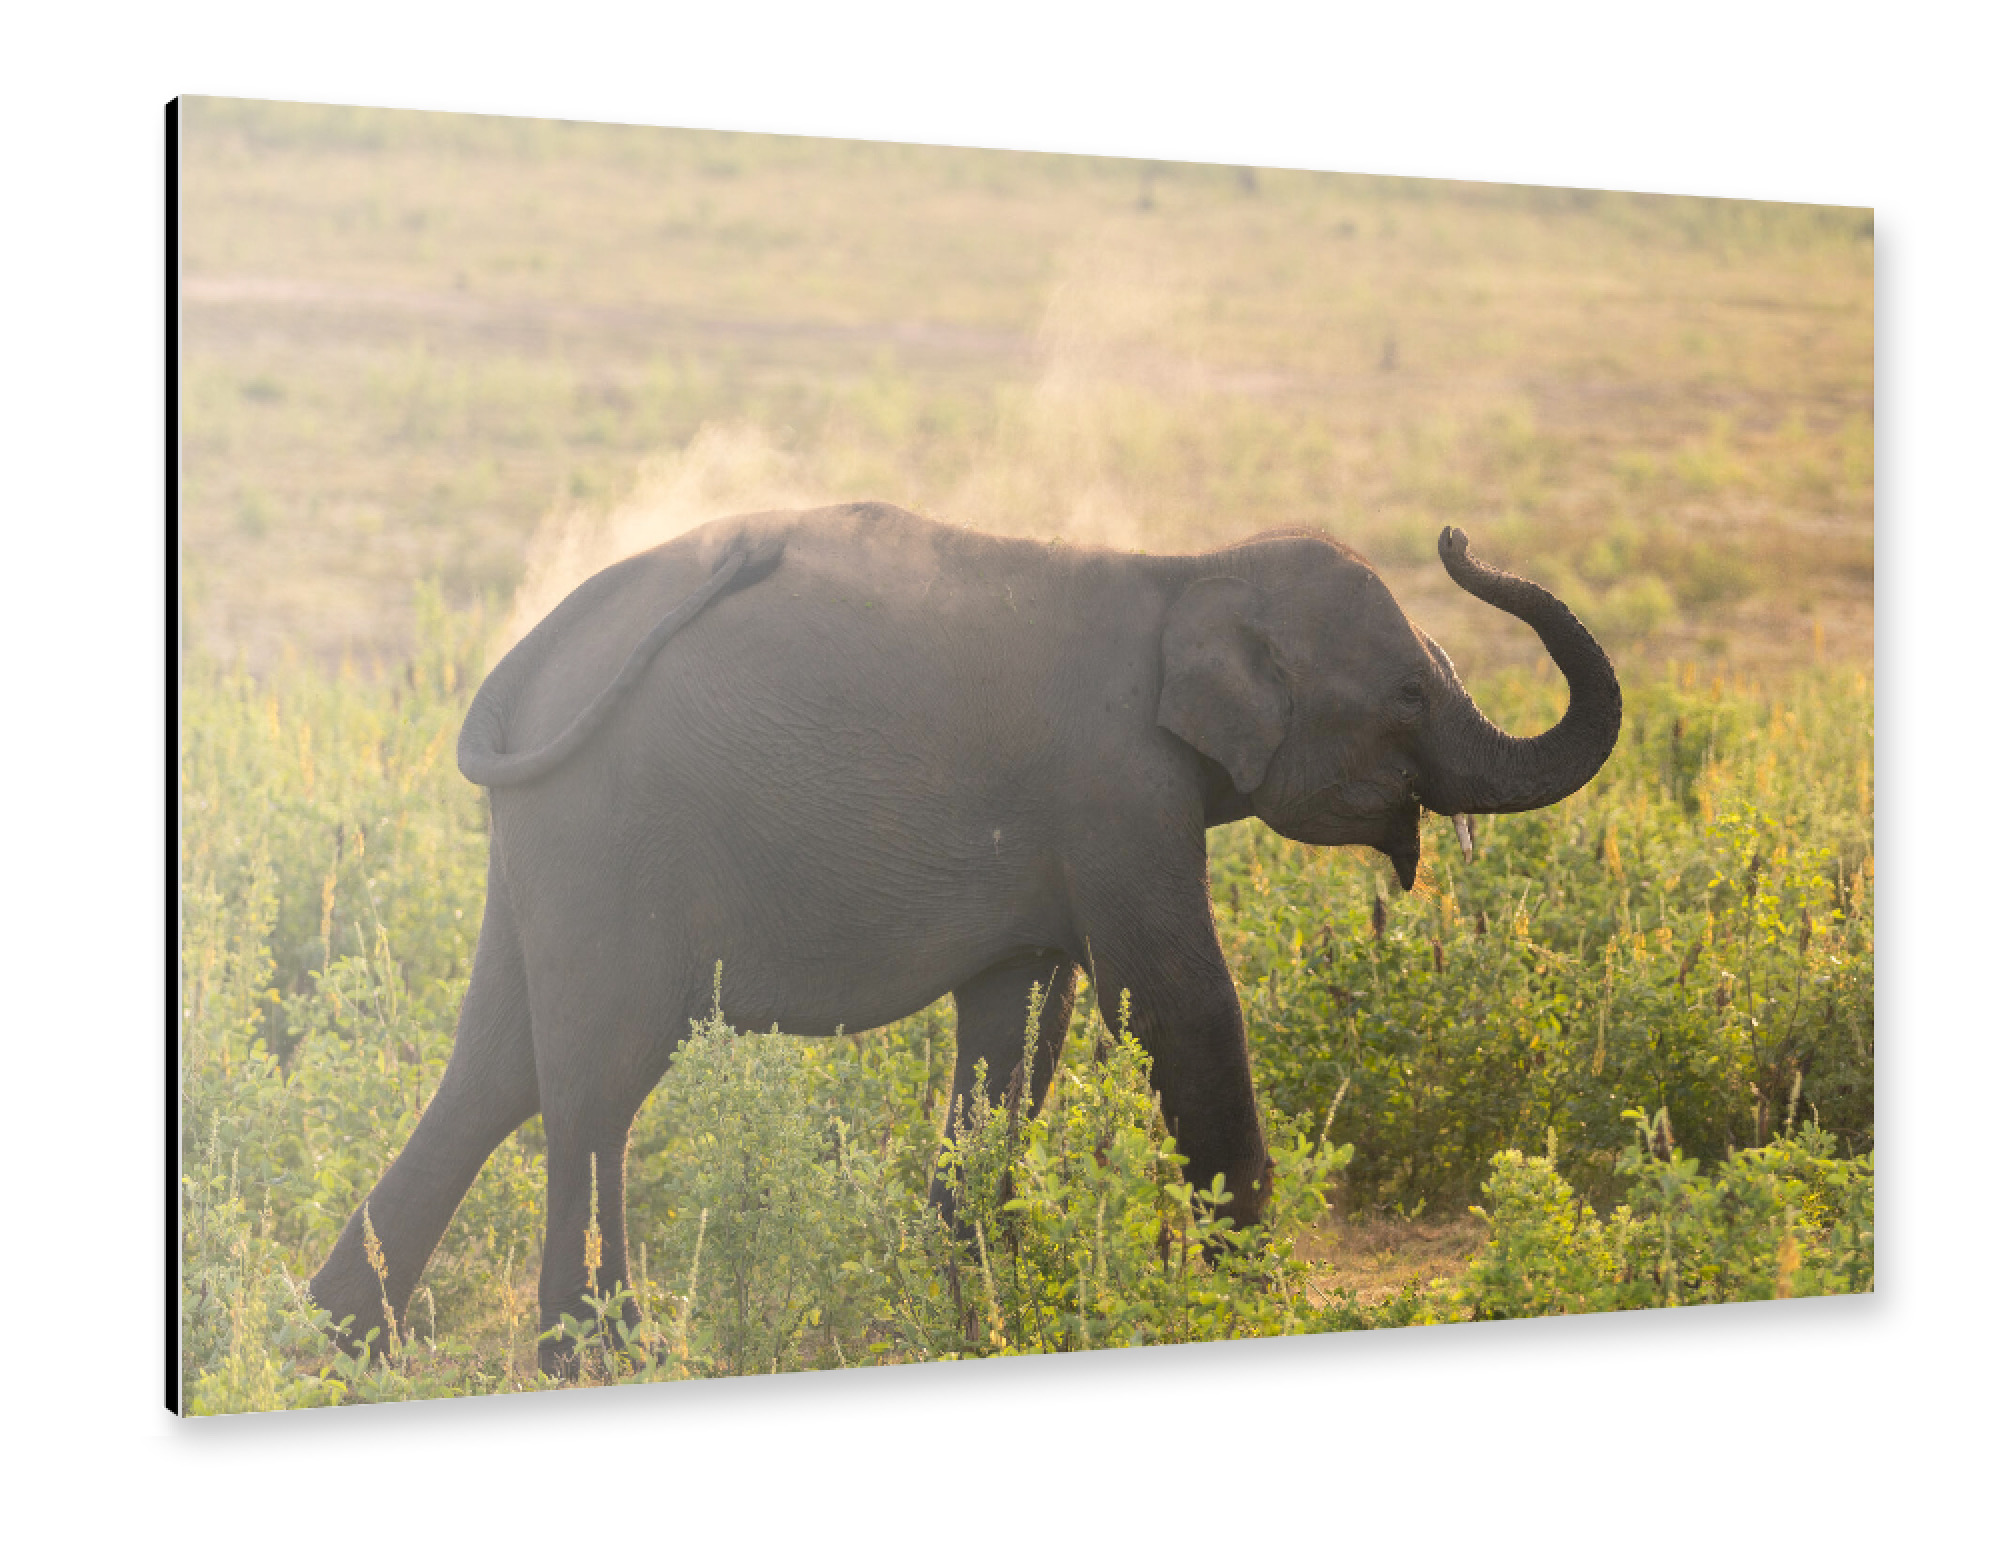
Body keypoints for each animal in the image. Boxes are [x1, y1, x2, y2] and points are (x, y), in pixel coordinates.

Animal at [307, 500, 1620, 1371]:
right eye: (1403, 697)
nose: (1456, 539)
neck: (1187, 571)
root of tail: (531, 650)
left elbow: (1019, 1032)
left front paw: (971, 1323)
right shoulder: (1117, 794)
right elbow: (1176, 1006)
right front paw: (1250, 1303)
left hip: (546, 829)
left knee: (498, 1071)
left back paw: (332, 1342)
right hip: (610, 826)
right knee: (598, 1080)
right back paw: (592, 1357)